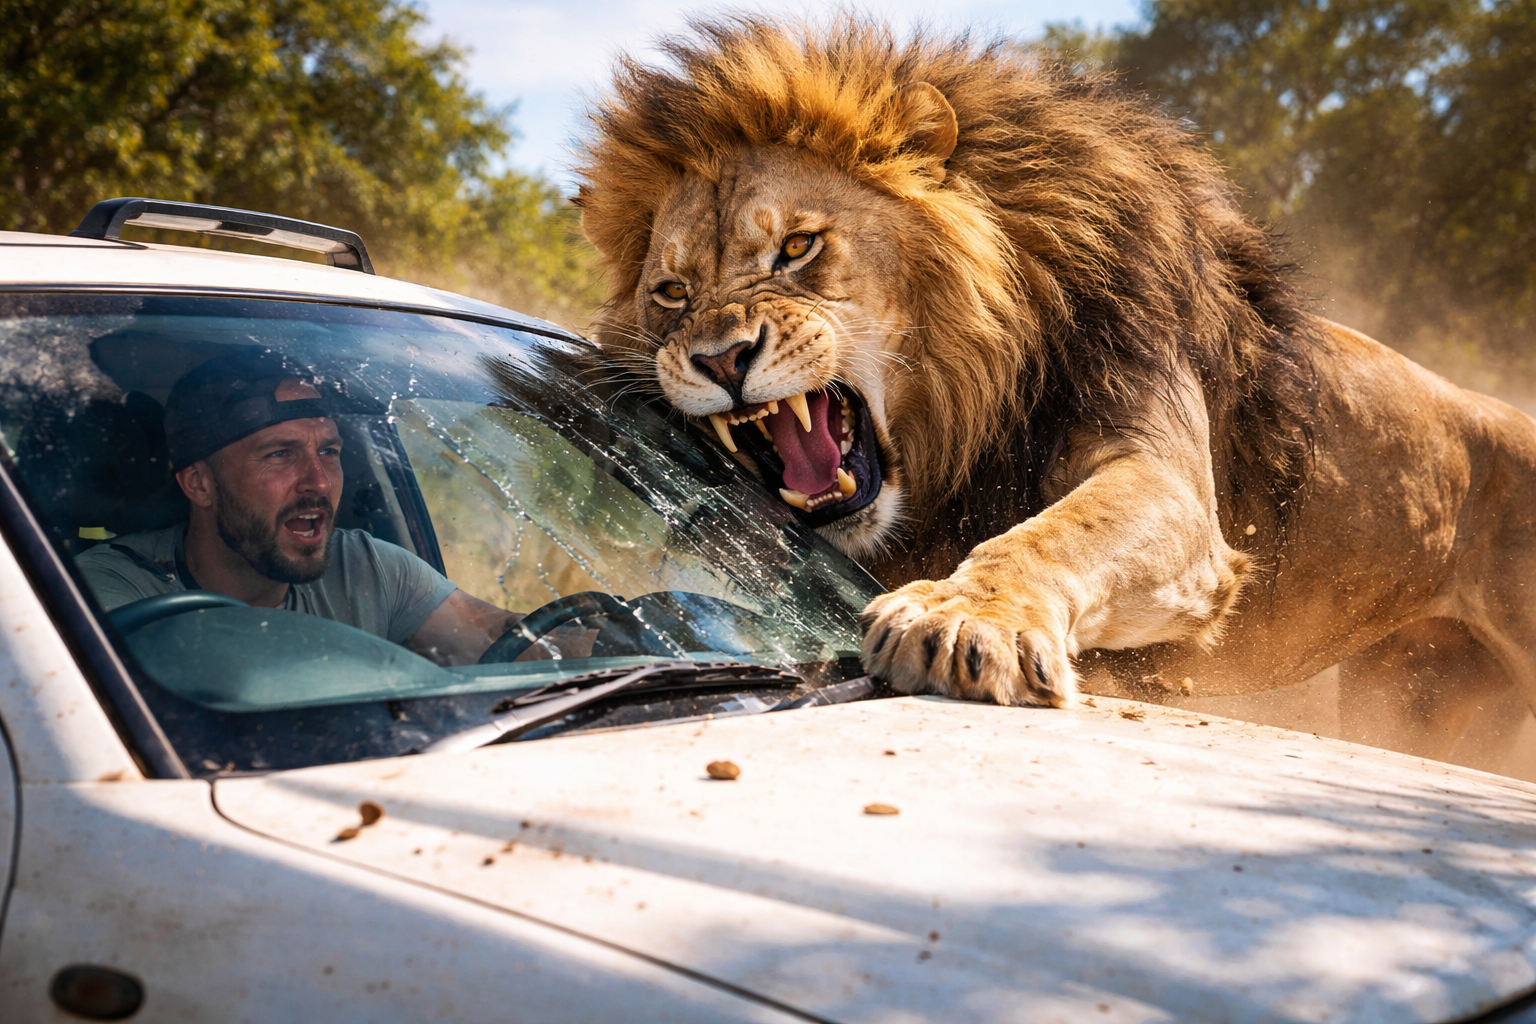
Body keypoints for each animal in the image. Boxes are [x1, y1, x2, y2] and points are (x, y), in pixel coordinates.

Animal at [574, 16, 1536, 762]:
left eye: (798, 247)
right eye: (672, 293)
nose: (720, 358)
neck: (967, 410)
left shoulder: (1170, 484)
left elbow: (1050, 534)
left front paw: (963, 619)